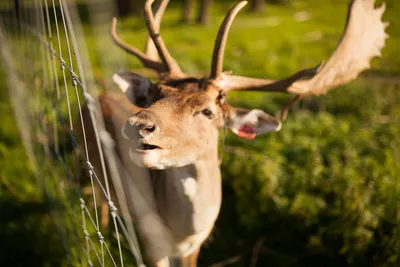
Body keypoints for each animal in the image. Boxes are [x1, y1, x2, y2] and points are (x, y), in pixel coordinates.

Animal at [80, 0, 388, 266]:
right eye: (154, 94)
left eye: (207, 111)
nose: (138, 124)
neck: (181, 233)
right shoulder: (151, 242)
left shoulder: (196, 246)